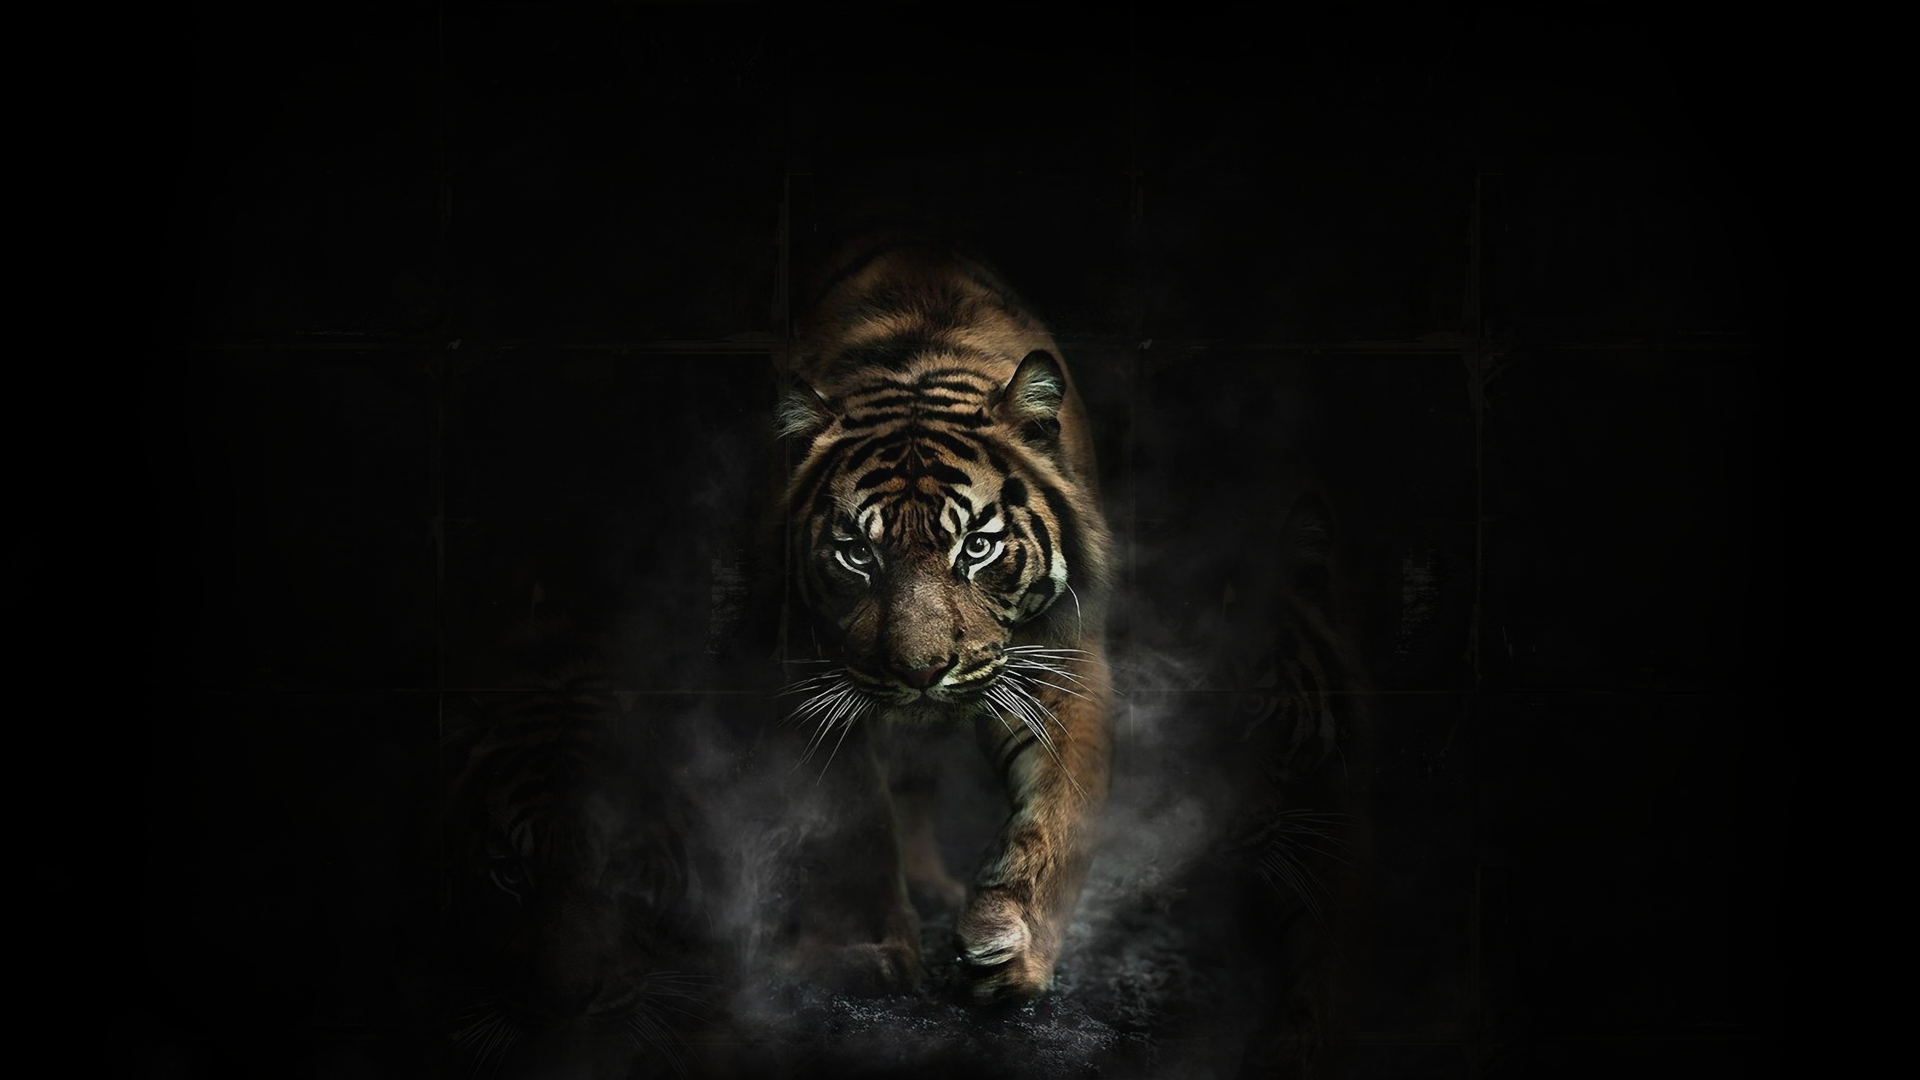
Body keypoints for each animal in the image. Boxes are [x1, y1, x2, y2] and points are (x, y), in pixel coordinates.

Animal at [761, 236, 1117, 1003]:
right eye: (858, 553)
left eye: (976, 546)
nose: (922, 672)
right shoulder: (808, 676)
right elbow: (856, 819)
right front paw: (868, 952)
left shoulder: (1065, 660)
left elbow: (1060, 813)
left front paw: (1011, 946)